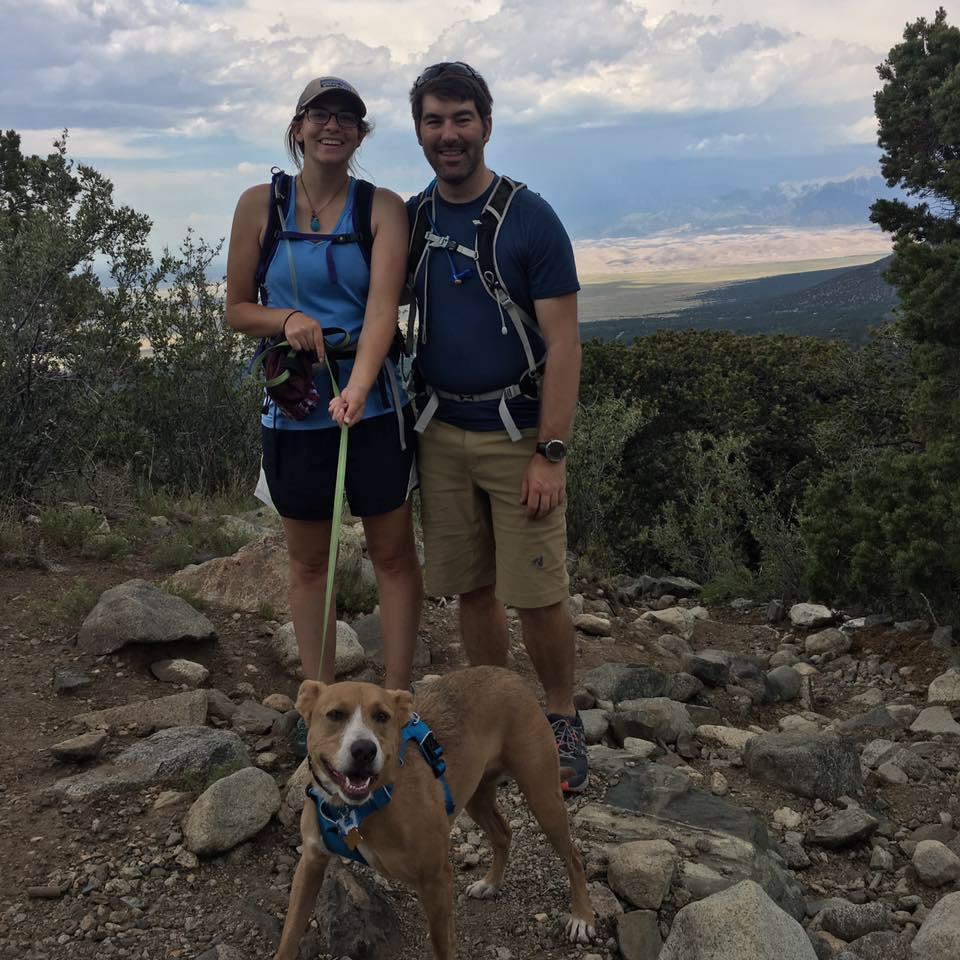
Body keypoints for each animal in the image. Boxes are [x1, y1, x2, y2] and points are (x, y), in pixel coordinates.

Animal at [270, 668, 596, 960]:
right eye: (335, 715)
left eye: (382, 717)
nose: (364, 750)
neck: (354, 810)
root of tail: (510, 675)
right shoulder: (310, 863)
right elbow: (289, 934)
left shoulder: (435, 879)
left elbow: (442, 946)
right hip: (477, 798)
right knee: (503, 833)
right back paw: (490, 883)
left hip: (543, 796)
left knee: (574, 857)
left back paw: (582, 917)